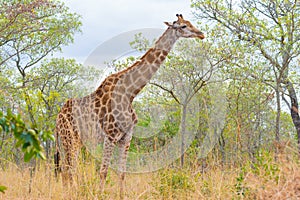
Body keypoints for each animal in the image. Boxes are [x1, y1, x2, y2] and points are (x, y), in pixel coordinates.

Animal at [54, 14, 204, 197]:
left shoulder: (126, 137)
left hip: (72, 140)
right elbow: (103, 171)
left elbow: (122, 172)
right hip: (69, 138)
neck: (130, 93)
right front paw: (100, 194)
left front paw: (121, 195)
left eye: (189, 23)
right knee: (69, 169)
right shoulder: (110, 136)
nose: (201, 34)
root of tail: (57, 118)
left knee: (67, 170)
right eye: (183, 26)